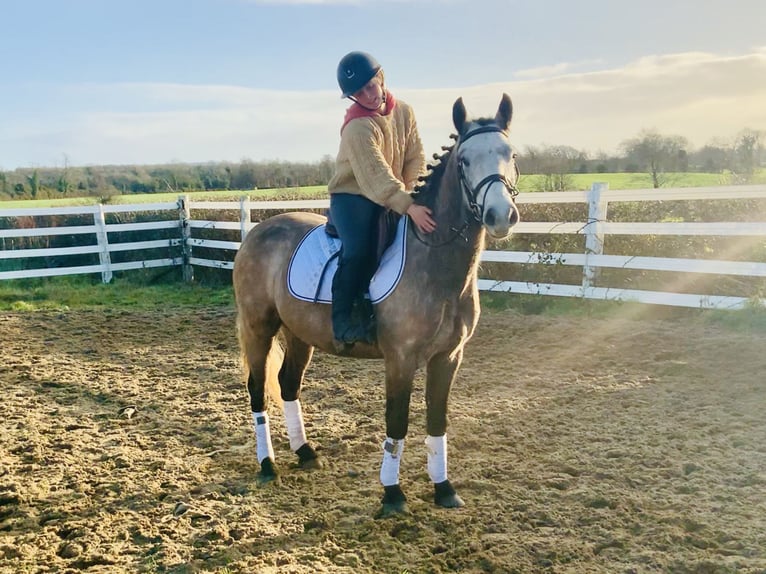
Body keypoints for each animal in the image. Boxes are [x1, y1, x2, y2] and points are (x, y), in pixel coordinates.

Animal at [234, 94, 520, 516]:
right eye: (465, 161)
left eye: (510, 154)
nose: (500, 215)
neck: (435, 263)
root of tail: (256, 232)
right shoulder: (400, 359)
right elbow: (397, 422)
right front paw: (392, 494)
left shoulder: (449, 357)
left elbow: (437, 421)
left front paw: (444, 488)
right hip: (259, 327)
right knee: (257, 388)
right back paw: (267, 464)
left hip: (298, 334)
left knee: (288, 384)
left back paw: (304, 452)